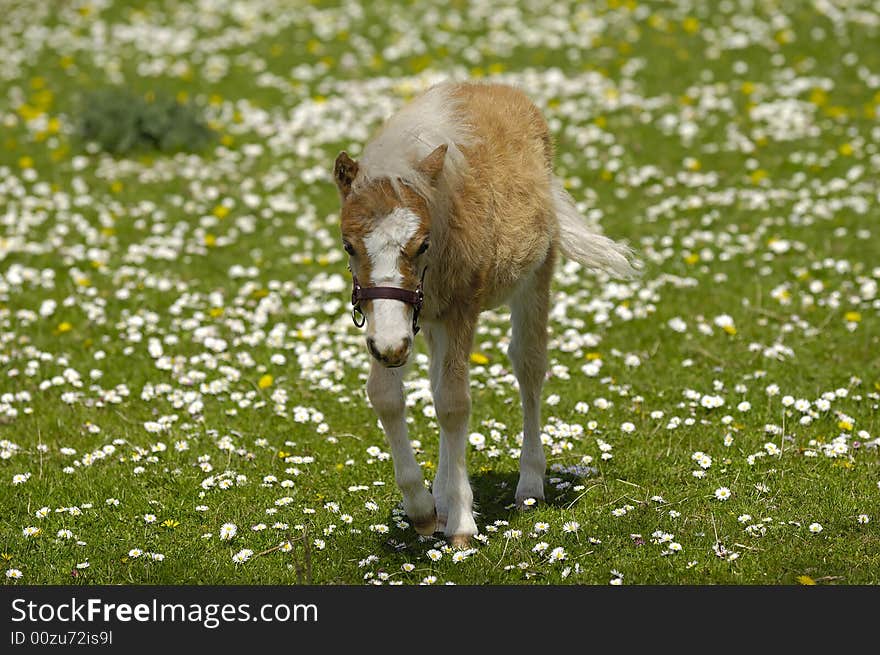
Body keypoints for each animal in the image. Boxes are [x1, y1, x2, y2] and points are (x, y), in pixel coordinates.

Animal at [334, 82, 636, 548]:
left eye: (422, 244)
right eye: (349, 245)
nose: (391, 348)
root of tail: (499, 87)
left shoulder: (460, 311)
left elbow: (454, 404)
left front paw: (461, 524)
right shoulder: (399, 323)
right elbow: (386, 395)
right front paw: (422, 509)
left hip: (534, 276)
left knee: (528, 365)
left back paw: (529, 485)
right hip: (431, 322)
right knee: (438, 379)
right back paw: (441, 497)